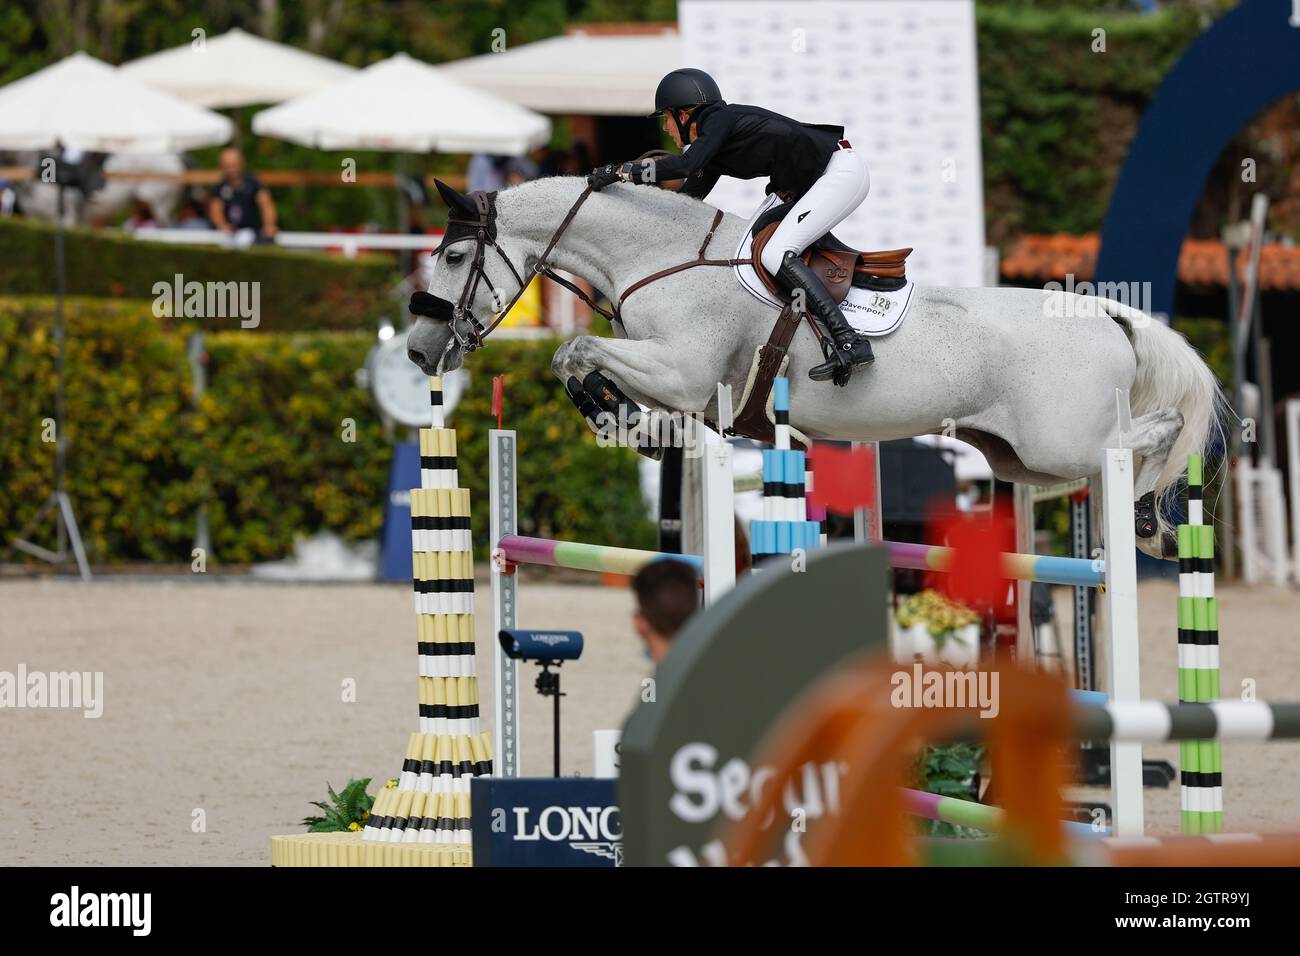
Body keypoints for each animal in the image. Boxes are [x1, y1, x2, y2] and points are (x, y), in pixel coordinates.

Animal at [405, 175, 1216, 556]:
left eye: (455, 256)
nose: (418, 349)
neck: (659, 256)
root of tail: (1106, 314)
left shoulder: (682, 372)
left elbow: (575, 349)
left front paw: (615, 414)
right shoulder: (678, 384)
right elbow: (581, 361)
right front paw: (624, 422)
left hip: (1061, 443)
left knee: (1147, 438)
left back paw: (1147, 516)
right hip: (1018, 459)